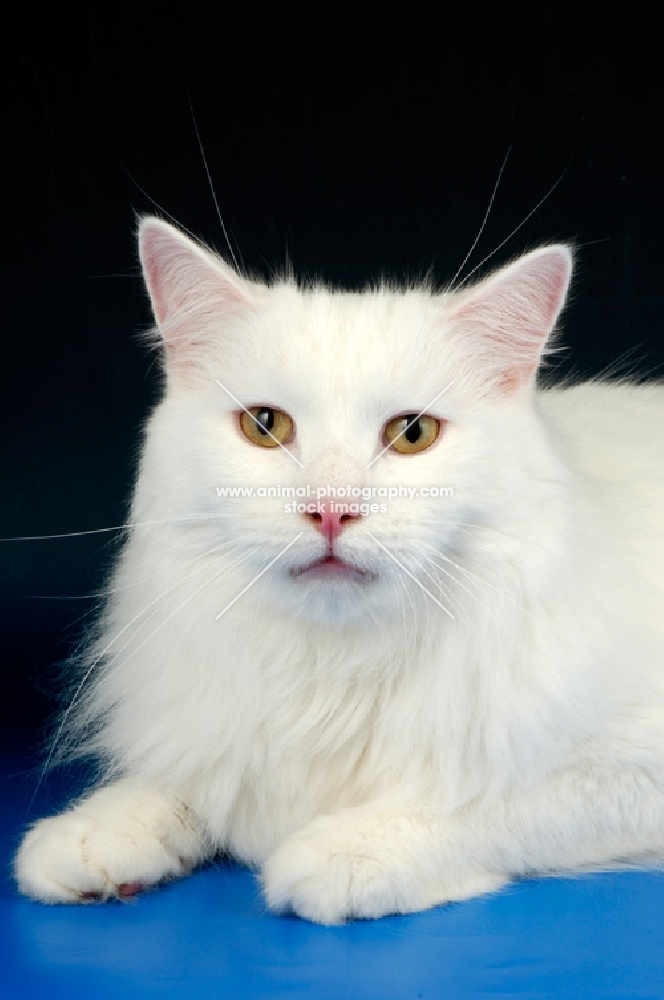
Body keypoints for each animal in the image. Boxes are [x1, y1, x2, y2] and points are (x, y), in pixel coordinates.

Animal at [14, 217, 664, 920]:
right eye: (264, 426)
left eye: (413, 433)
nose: (330, 511)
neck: (338, 669)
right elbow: (187, 779)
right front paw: (93, 835)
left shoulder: (626, 768)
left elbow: (482, 799)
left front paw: (337, 853)